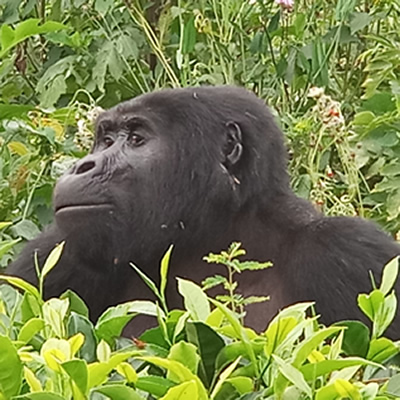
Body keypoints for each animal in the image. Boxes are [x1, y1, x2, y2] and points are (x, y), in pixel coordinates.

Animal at [5, 86, 400, 336]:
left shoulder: (347, 252)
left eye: (136, 139)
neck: (212, 237)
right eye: (105, 140)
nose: (83, 165)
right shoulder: (55, 254)